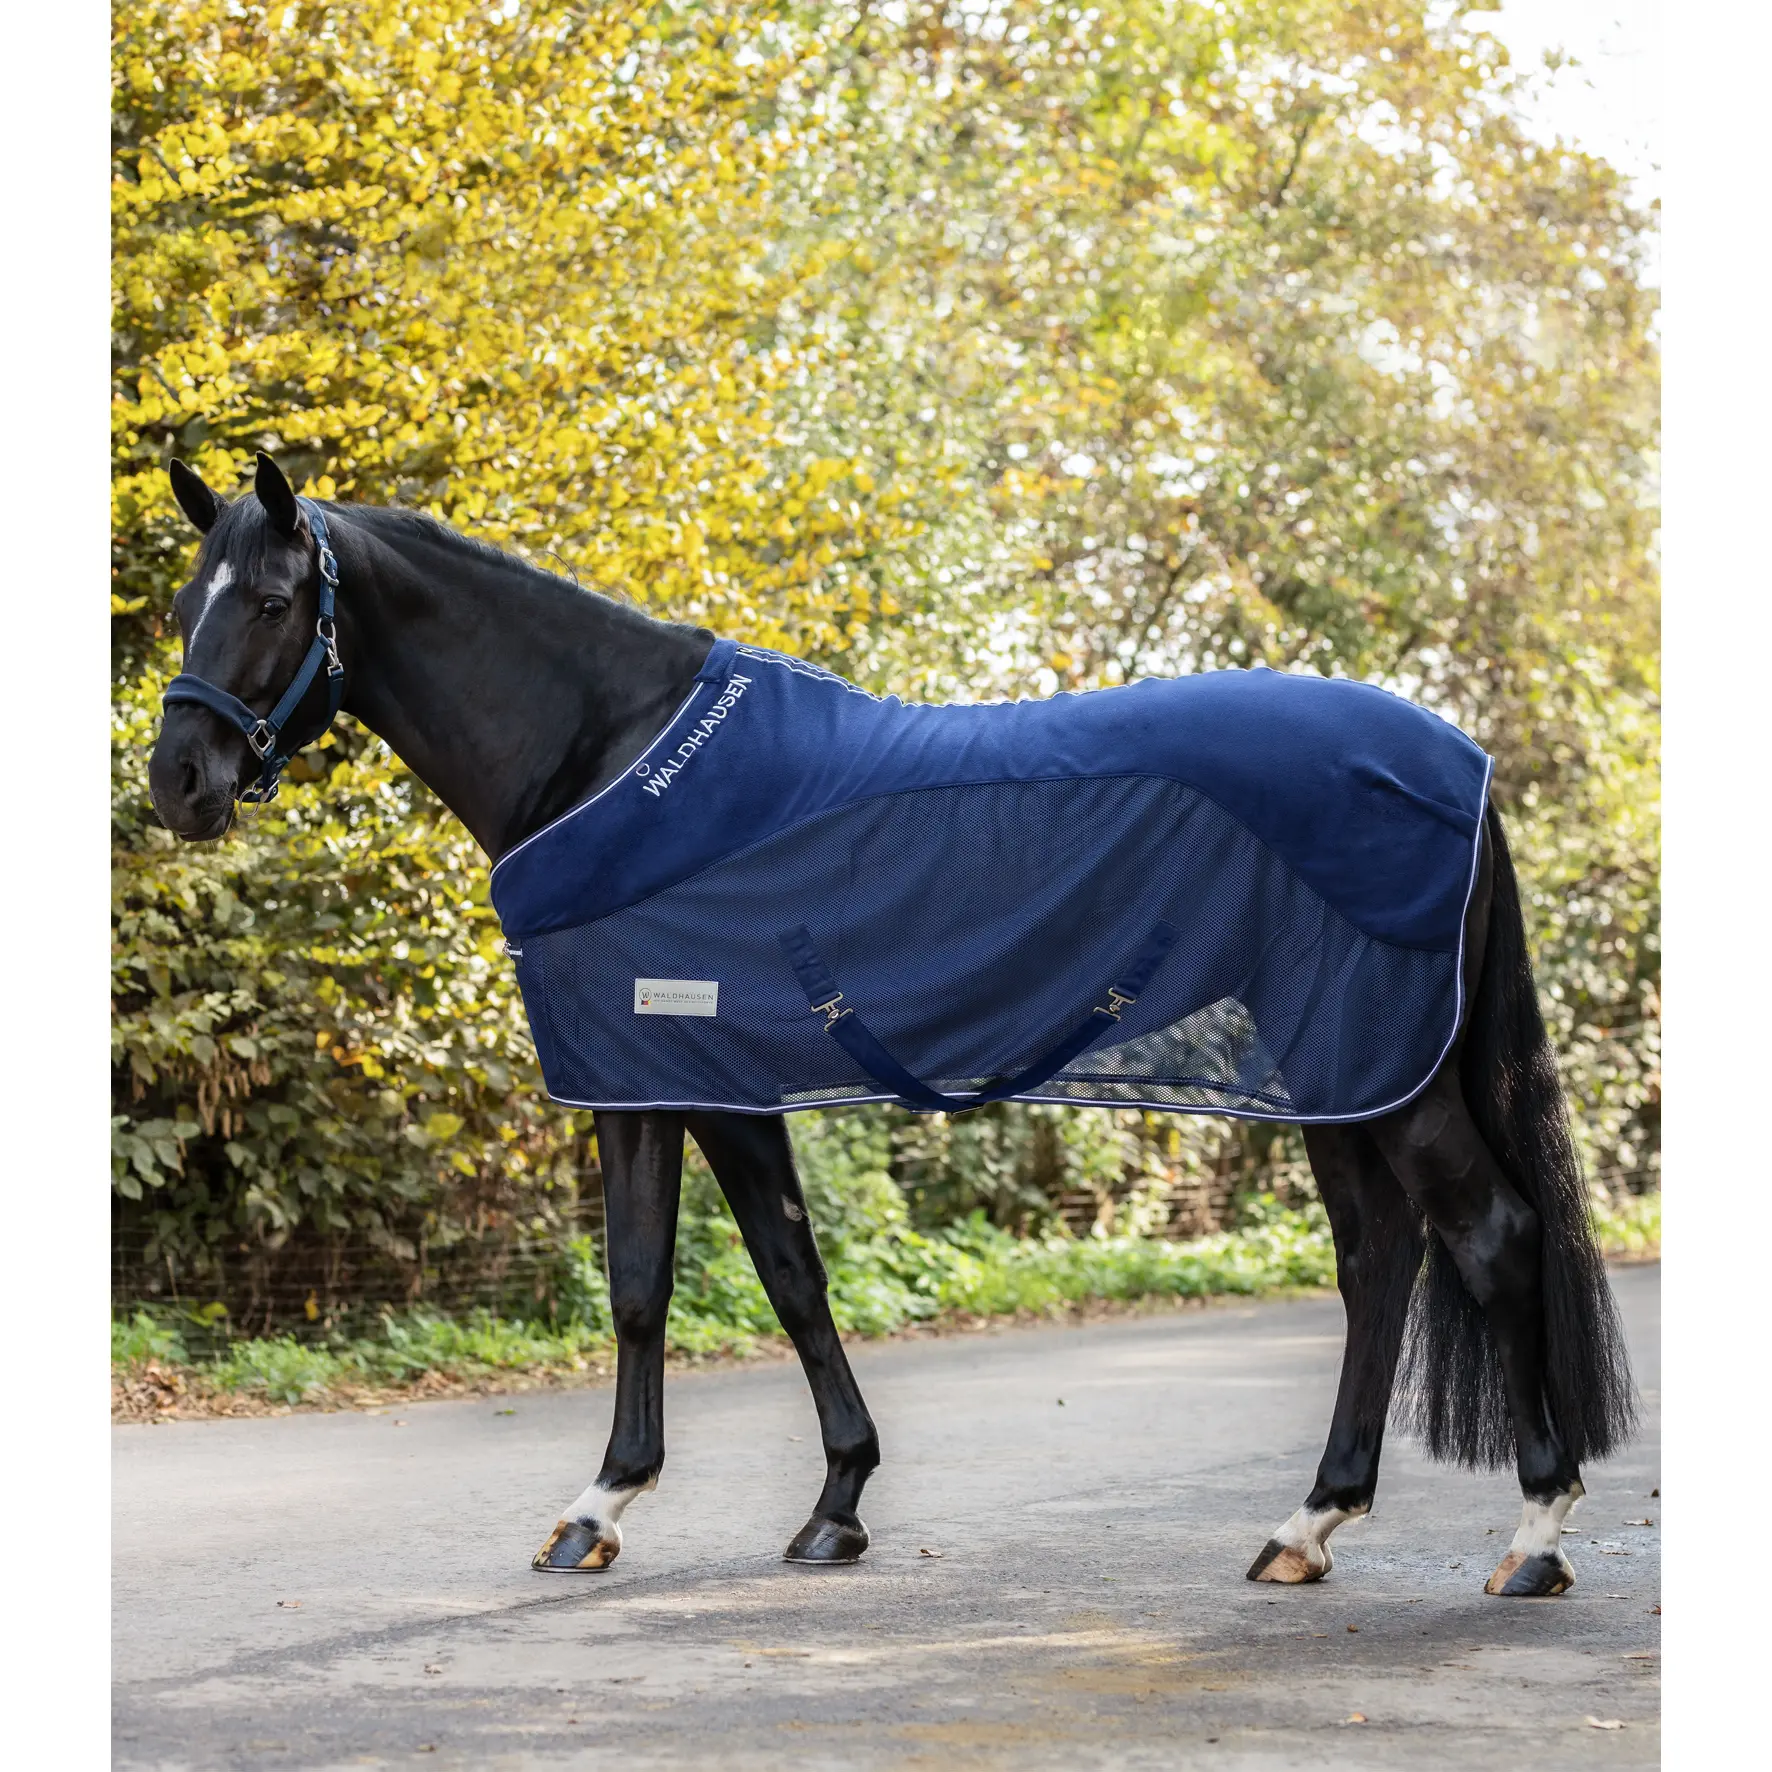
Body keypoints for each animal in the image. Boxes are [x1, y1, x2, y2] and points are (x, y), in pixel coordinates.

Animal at [145, 454, 1635, 1597]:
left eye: (271, 599)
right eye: (181, 603)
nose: (180, 782)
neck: (606, 756)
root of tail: (1456, 761)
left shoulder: (656, 1074)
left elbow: (672, 1286)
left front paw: (625, 1506)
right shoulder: (696, 1082)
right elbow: (751, 1278)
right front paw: (809, 1503)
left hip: (1381, 1072)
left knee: (1488, 1237)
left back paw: (1534, 1536)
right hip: (1337, 1069)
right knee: (1379, 1258)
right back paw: (1308, 1525)